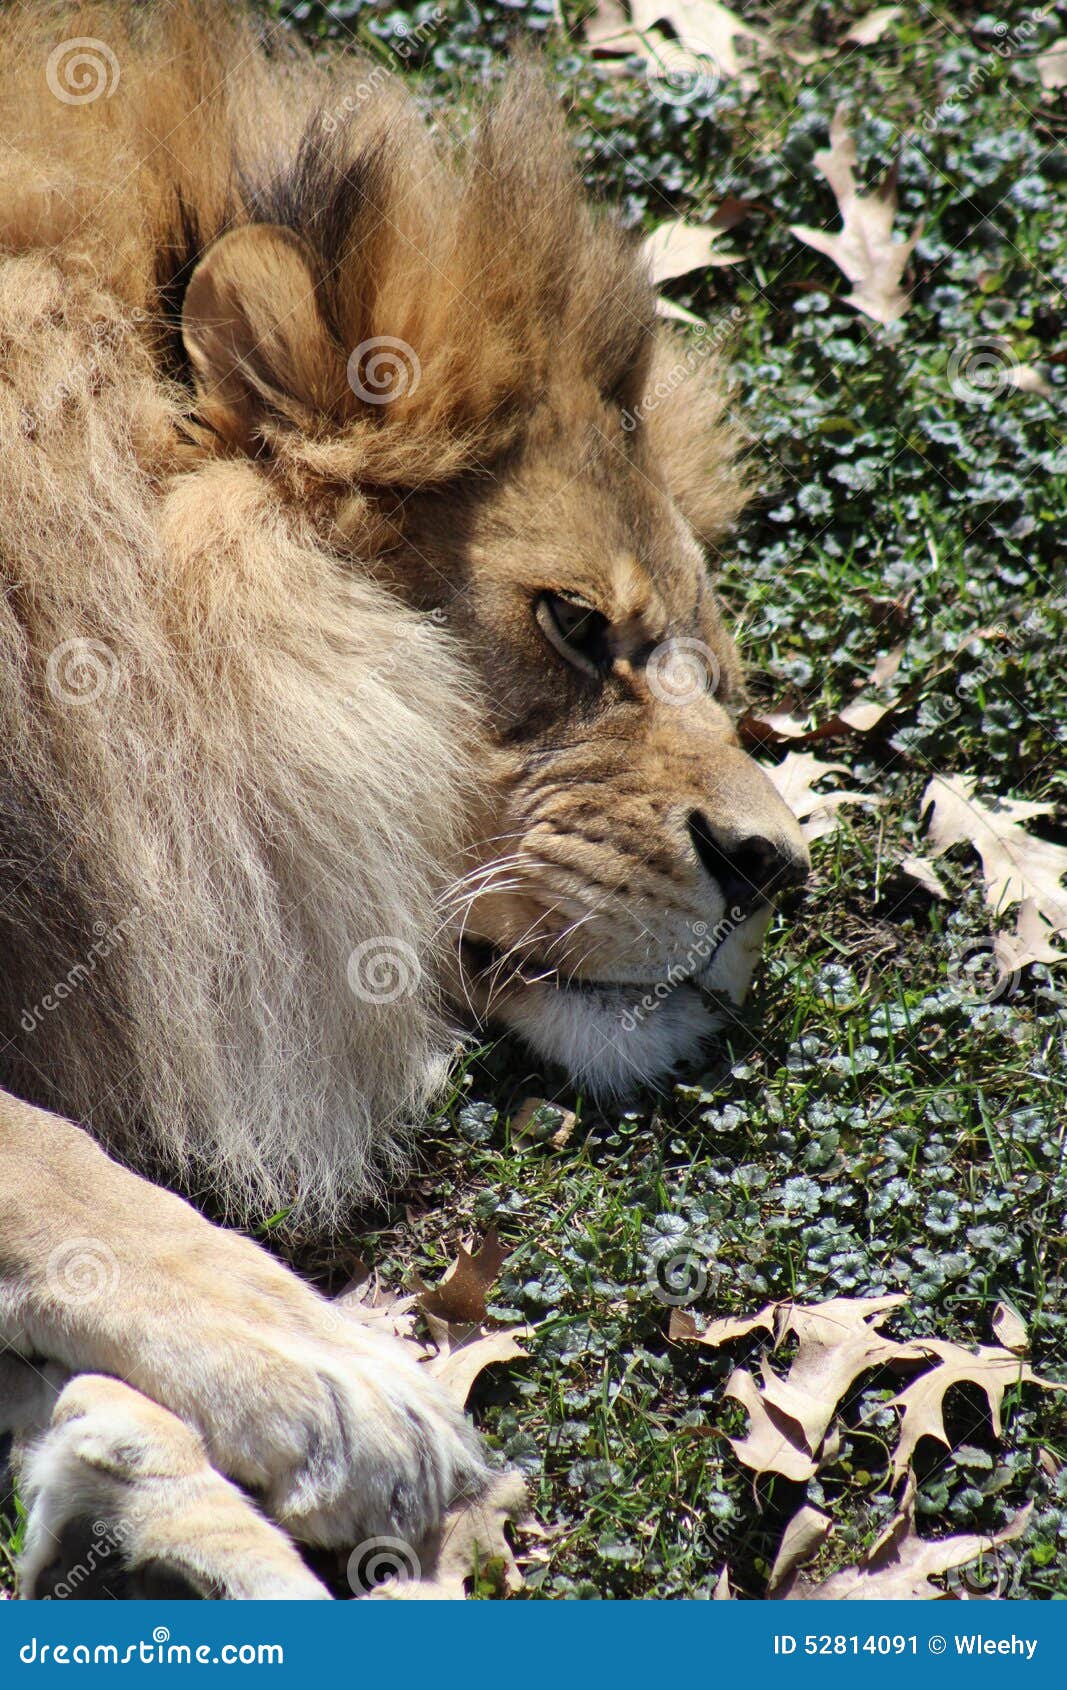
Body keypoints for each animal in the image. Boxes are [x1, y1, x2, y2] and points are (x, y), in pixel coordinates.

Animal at [0, 0, 808, 1596]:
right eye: (572, 624)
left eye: (716, 673)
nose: (772, 864)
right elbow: (49, 1162)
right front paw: (333, 1379)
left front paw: (151, 1482)